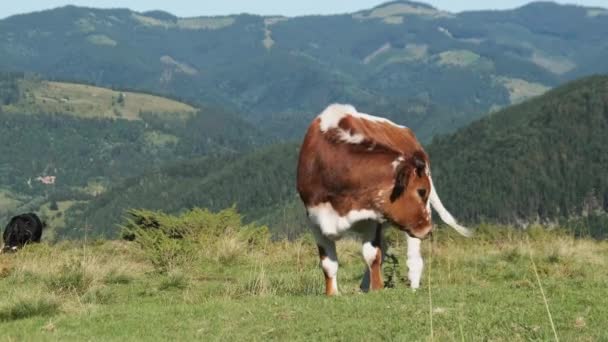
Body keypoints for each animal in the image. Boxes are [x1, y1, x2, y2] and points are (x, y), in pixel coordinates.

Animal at [294, 103, 470, 296]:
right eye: (421, 191)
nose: (428, 229)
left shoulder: (374, 217)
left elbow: (372, 255)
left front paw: (377, 289)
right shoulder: (315, 219)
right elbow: (328, 263)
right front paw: (332, 293)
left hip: (412, 225)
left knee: (411, 256)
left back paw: (413, 284)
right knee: (384, 248)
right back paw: (365, 286)